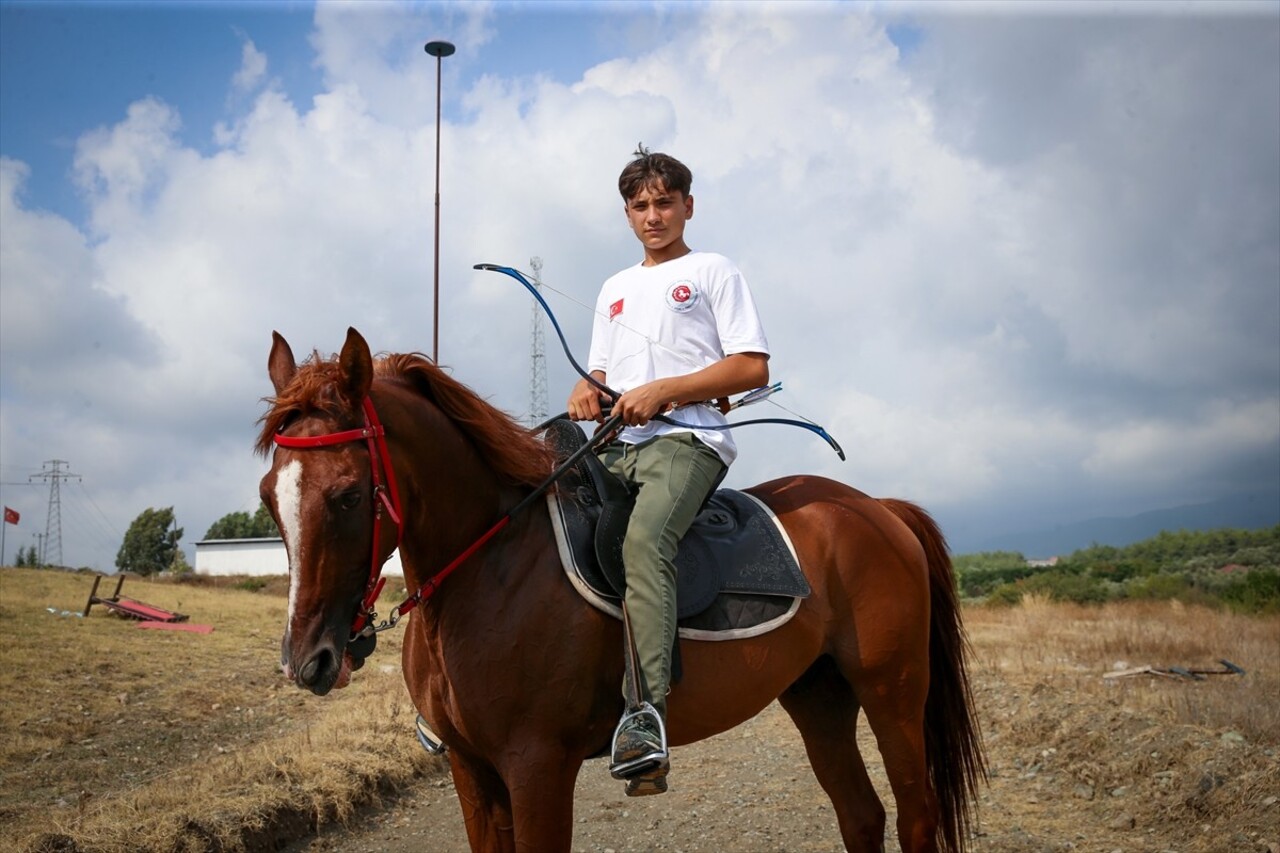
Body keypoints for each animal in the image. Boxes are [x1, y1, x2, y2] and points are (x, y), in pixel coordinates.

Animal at [257, 326, 977, 850]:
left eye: (349, 495)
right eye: (269, 495)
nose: (307, 660)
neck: (489, 568)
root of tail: (878, 508)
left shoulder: (537, 767)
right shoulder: (472, 771)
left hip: (892, 691)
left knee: (915, 814)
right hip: (818, 694)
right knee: (861, 814)